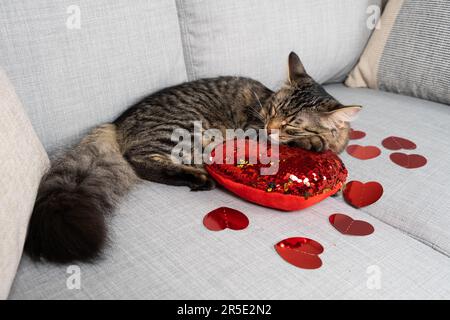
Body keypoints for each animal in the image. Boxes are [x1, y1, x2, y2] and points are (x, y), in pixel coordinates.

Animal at [25, 53, 362, 262]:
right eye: (272, 110)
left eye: (290, 122)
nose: (270, 126)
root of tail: (117, 122)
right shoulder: (253, 128)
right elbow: (300, 143)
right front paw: (313, 143)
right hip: (184, 130)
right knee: (140, 160)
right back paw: (198, 177)